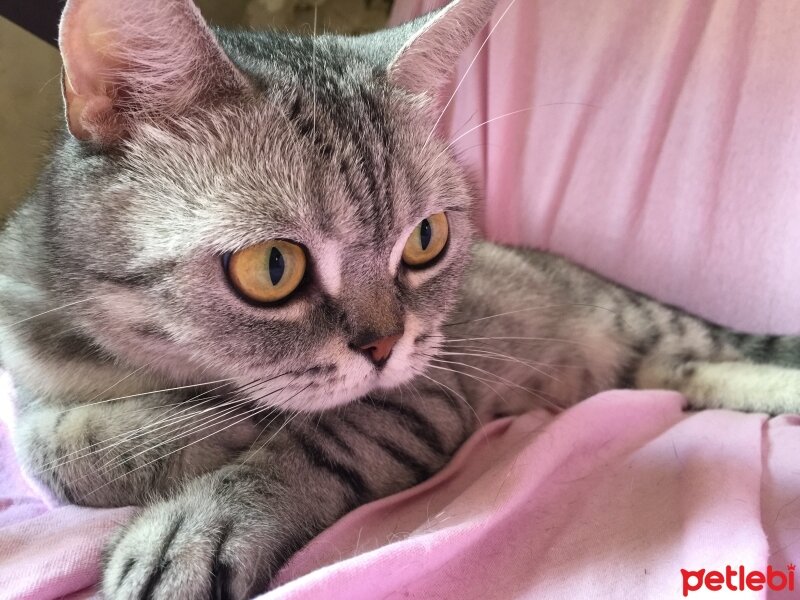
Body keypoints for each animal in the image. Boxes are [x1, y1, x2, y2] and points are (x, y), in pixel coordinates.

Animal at [1, 0, 800, 596]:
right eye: (273, 266)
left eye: (425, 239)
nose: (385, 345)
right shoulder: (28, 376)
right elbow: (49, 450)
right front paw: (184, 428)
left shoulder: (428, 388)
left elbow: (316, 441)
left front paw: (202, 515)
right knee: (689, 375)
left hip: (638, 325)